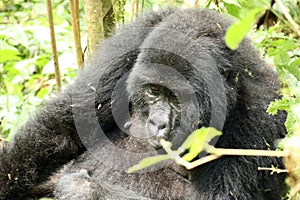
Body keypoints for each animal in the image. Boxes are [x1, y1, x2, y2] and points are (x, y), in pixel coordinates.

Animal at [0, 7, 288, 198]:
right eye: (153, 90)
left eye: (179, 98)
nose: (158, 123)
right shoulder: (130, 43)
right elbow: (64, 127)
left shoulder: (258, 121)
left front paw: (83, 188)